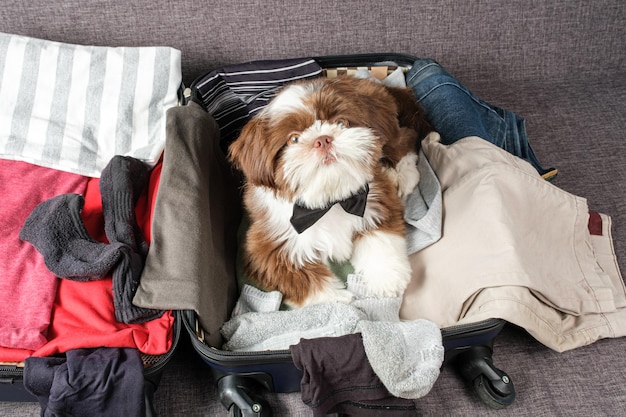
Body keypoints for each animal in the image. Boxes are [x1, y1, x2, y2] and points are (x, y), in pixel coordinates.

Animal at [228, 75, 428, 308]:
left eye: (341, 123)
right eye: (294, 139)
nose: (322, 139)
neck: (329, 200)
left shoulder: (376, 200)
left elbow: (381, 237)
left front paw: (386, 277)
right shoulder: (268, 244)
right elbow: (301, 277)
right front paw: (337, 300)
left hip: (388, 126)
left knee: (403, 137)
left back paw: (404, 175)